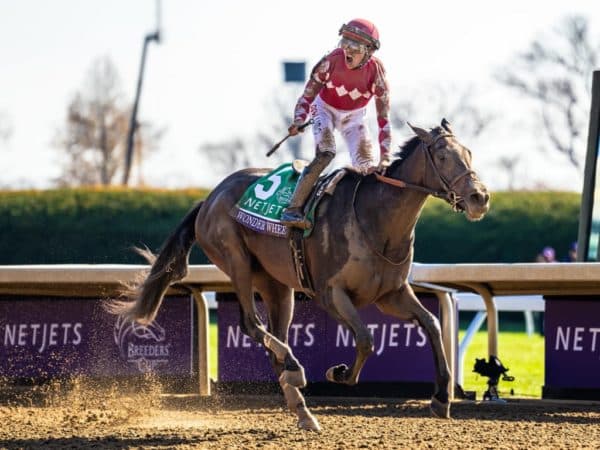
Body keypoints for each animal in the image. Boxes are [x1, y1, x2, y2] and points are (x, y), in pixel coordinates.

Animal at [110, 120, 490, 432]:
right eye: (442, 156)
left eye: (470, 153)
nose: (480, 197)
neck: (375, 219)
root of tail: (209, 198)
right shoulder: (331, 293)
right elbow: (366, 338)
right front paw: (339, 372)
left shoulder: (390, 294)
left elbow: (432, 323)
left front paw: (441, 398)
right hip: (235, 260)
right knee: (252, 325)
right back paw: (296, 369)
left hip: (276, 286)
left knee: (273, 339)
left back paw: (302, 409)